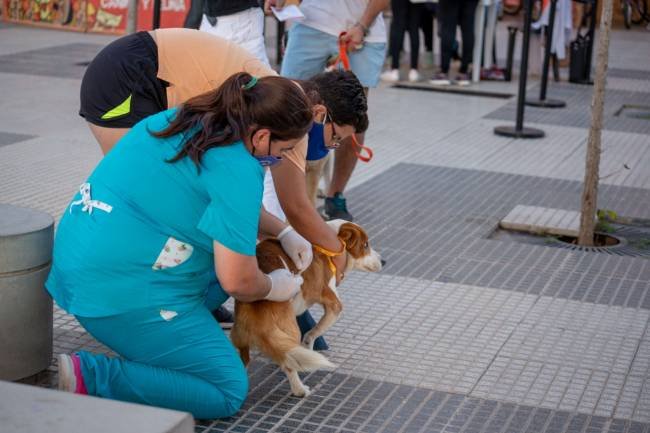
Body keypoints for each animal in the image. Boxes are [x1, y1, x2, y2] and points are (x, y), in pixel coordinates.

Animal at [229, 219, 380, 394]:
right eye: (365, 245)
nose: (383, 261)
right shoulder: (334, 305)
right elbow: (312, 333)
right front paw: (309, 346)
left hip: (241, 340)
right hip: (291, 331)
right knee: (289, 366)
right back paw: (300, 390)